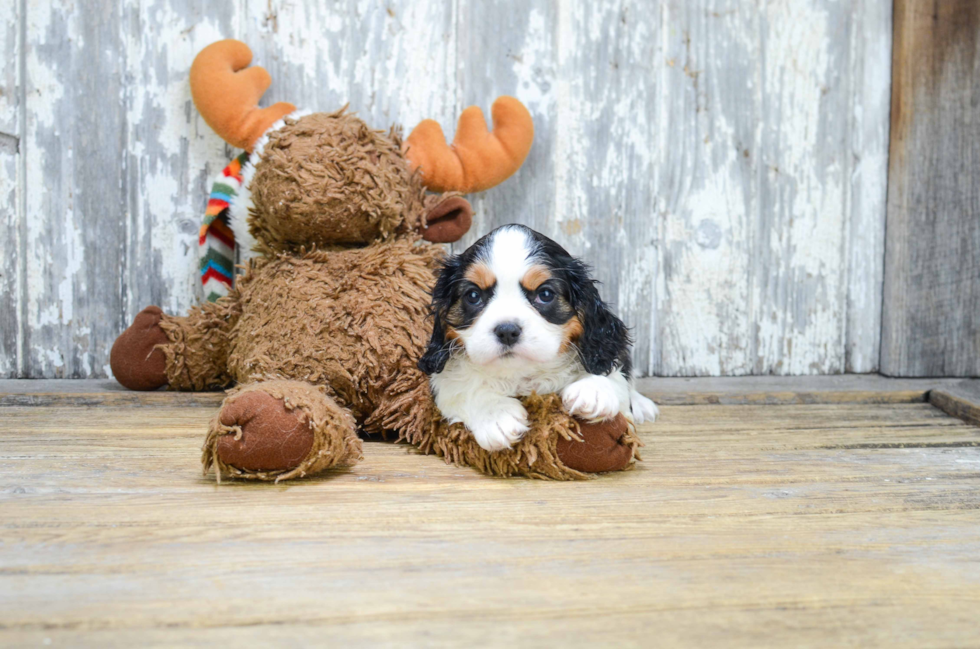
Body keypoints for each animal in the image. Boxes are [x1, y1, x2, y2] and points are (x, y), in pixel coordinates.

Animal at [422, 223, 660, 450]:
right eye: (473, 295)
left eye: (545, 294)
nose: (507, 330)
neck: (524, 374)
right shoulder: (444, 382)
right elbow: (463, 389)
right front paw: (496, 415)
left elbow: (613, 376)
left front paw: (593, 390)